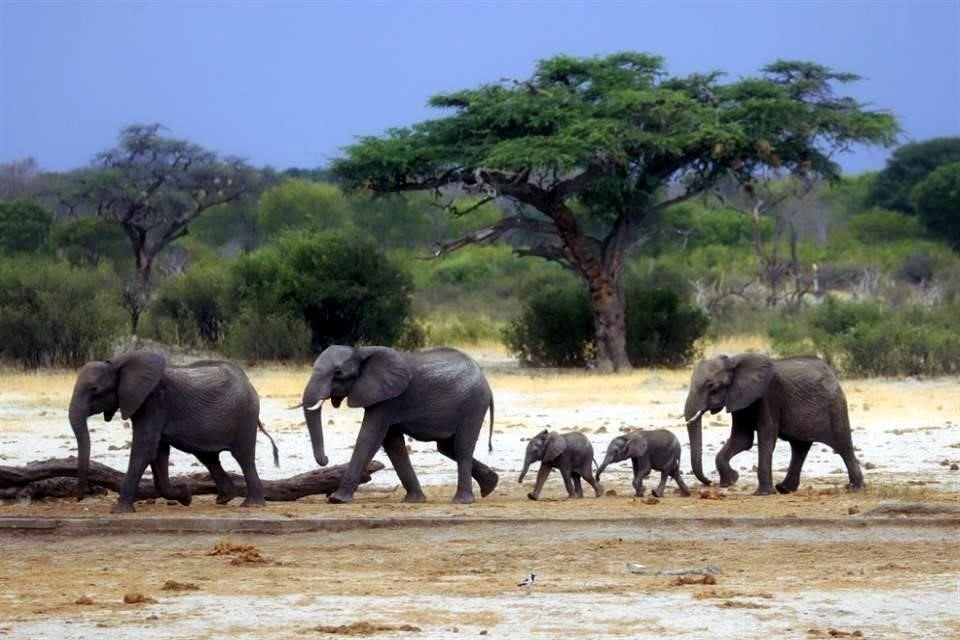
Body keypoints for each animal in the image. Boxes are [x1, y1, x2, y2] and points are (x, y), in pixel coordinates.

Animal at [66, 352, 278, 512]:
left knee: (243, 457)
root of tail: (249, 382)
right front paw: (186, 495)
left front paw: (119, 511)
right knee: (208, 457)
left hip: (245, 415)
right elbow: (158, 453)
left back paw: (252, 505)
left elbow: (144, 450)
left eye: (94, 389)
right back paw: (224, 499)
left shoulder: (153, 402)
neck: (119, 364)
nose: (80, 498)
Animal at [304, 344, 498, 504]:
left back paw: (462, 501)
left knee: (462, 447)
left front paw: (338, 499)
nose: (325, 460)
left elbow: (370, 437)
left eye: (338, 373)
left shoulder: (389, 400)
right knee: (447, 447)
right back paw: (490, 485)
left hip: (473, 405)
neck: (361, 352)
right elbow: (392, 444)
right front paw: (414, 500)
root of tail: (487, 383)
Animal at [684, 356, 864, 496]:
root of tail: (832, 373)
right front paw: (731, 480)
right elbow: (742, 439)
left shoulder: (768, 395)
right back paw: (784, 489)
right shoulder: (740, 399)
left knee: (842, 445)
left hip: (835, 405)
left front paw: (762, 494)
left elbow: (766, 436)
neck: (735, 362)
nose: (709, 482)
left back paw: (855, 488)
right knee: (799, 447)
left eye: (712, 387)